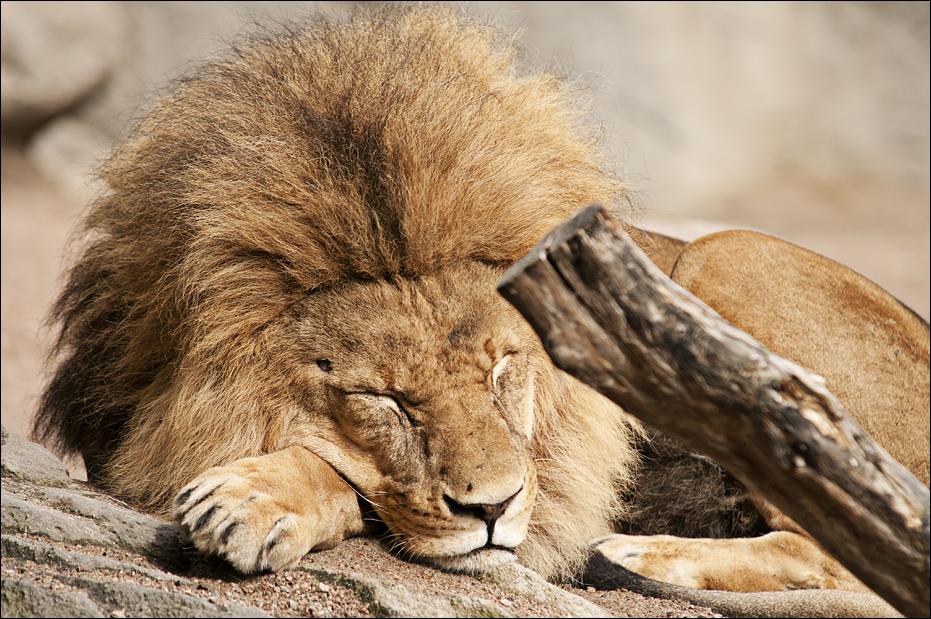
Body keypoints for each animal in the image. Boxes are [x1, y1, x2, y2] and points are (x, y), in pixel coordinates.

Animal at [34, 5, 928, 609]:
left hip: (724, 250)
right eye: (383, 398)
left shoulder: (554, 482)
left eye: (505, 370)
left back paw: (638, 555)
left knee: (840, 550)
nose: (494, 508)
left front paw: (250, 498)